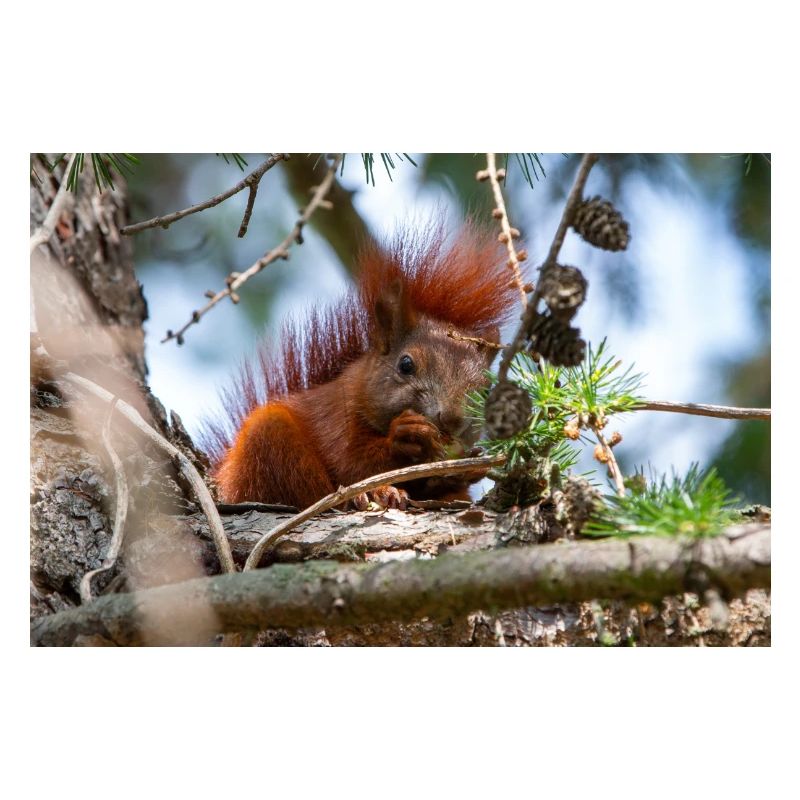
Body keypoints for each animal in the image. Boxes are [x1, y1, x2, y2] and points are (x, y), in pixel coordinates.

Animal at [202, 221, 521, 510]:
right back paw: (369, 495)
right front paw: (405, 435)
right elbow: (352, 462)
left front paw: (470, 467)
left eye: (486, 389)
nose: (452, 419)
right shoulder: (335, 419)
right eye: (406, 365)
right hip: (268, 443)